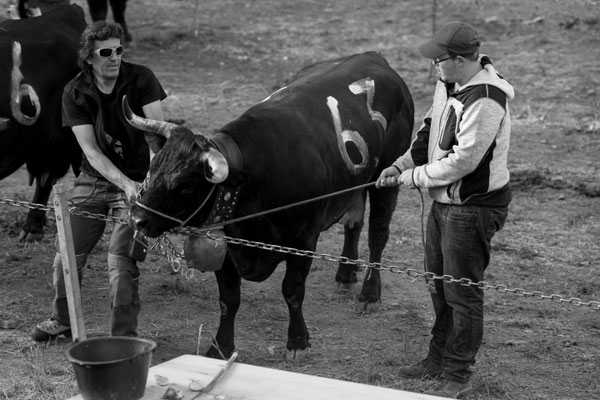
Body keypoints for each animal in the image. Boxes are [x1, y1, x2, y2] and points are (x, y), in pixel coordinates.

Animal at [122, 51, 412, 360]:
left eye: (186, 186)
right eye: (152, 168)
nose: (137, 218)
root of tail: (372, 56)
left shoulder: (304, 241)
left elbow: (292, 290)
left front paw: (298, 341)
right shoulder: (228, 248)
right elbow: (229, 299)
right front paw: (220, 347)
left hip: (386, 176)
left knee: (377, 234)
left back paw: (370, 294)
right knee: (353, 223)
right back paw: (345, 276)